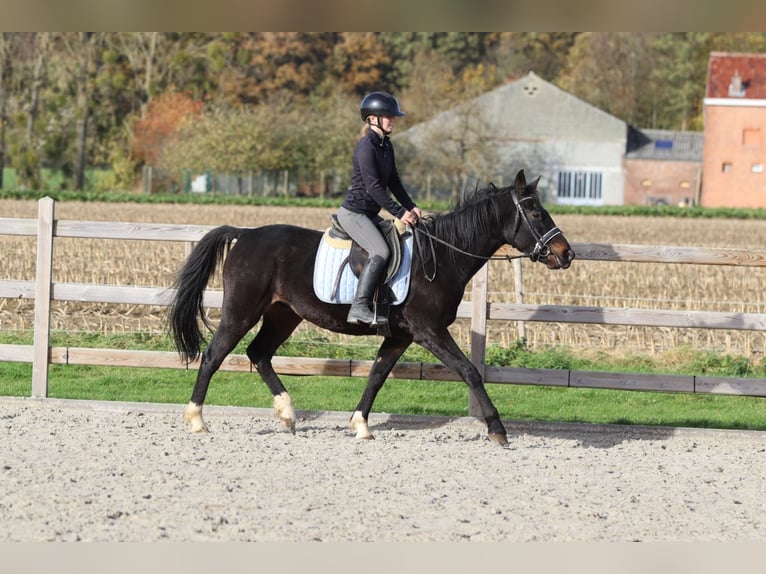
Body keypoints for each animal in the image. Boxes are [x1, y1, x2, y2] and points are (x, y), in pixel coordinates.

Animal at [168, 169, 575, 446]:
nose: (566, 254)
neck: (442, 256)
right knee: (214, 355)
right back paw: (197, 419)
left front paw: (360, 424)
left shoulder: (401, 336)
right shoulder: (429, 331)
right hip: (242, 311)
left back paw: (287, 414)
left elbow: (377, 375)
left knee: (259, 353)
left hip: (284, 314)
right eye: (536, 214)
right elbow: (469, 371)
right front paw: (497, 429)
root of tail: (245, 235)